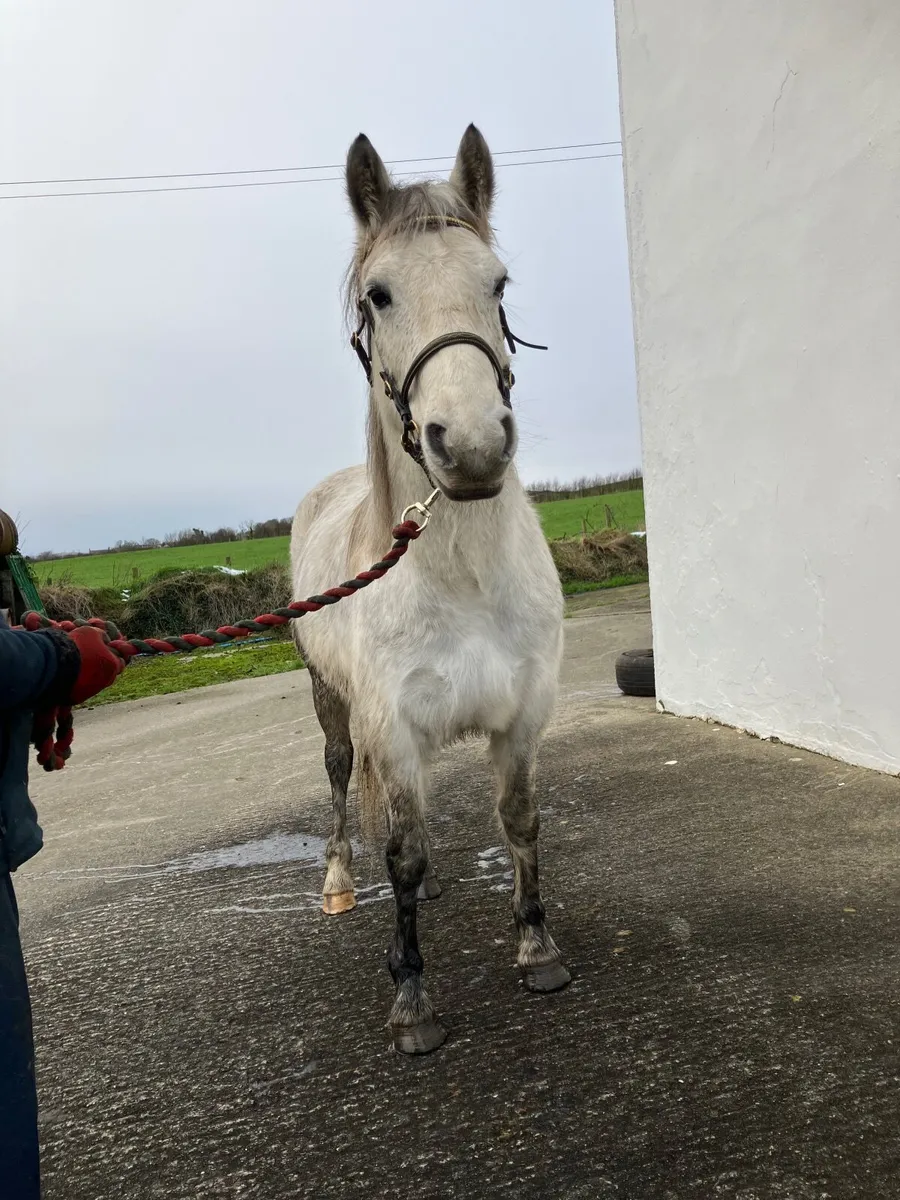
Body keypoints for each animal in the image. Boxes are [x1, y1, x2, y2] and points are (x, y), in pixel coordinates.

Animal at [290, 124, 569, 1054]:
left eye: (499, 283)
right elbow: (402, 854)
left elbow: (518, 820)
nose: (474, 445)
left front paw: (537, 949)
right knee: (345, 779)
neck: (461, 576)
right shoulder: (395, 729)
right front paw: (411, 994)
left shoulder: (519, 717)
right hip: (330, 699)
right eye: (379, 296)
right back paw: (340, 880)